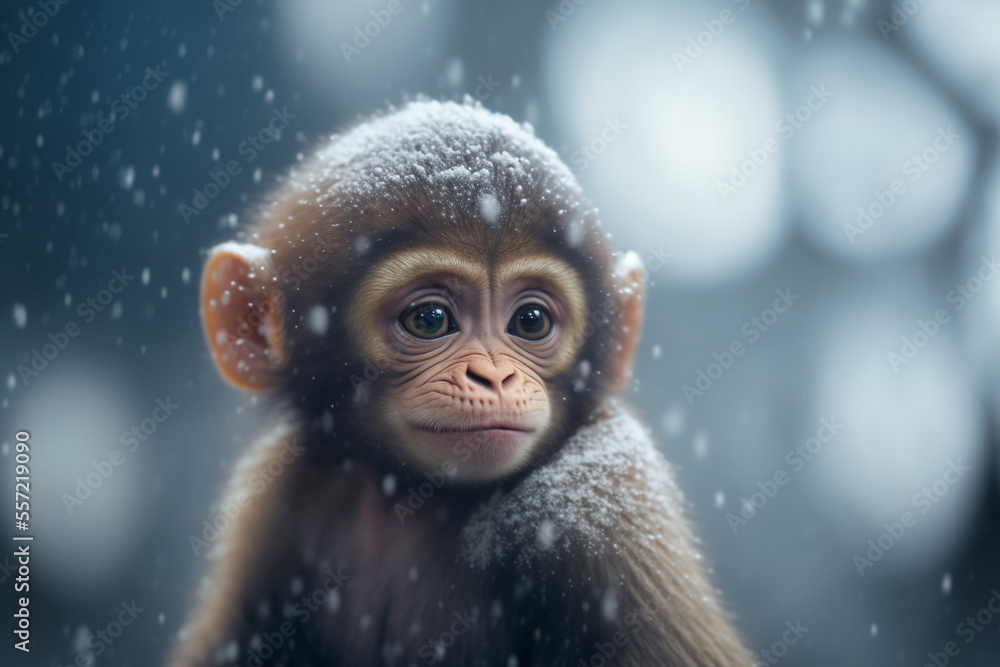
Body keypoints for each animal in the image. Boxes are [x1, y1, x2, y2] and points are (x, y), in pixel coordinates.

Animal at [171, 100, 749, 667]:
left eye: (531, 321)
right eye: (430, 319)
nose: (494, 376)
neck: (408, 496)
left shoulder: (604, 502)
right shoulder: (271, 498)